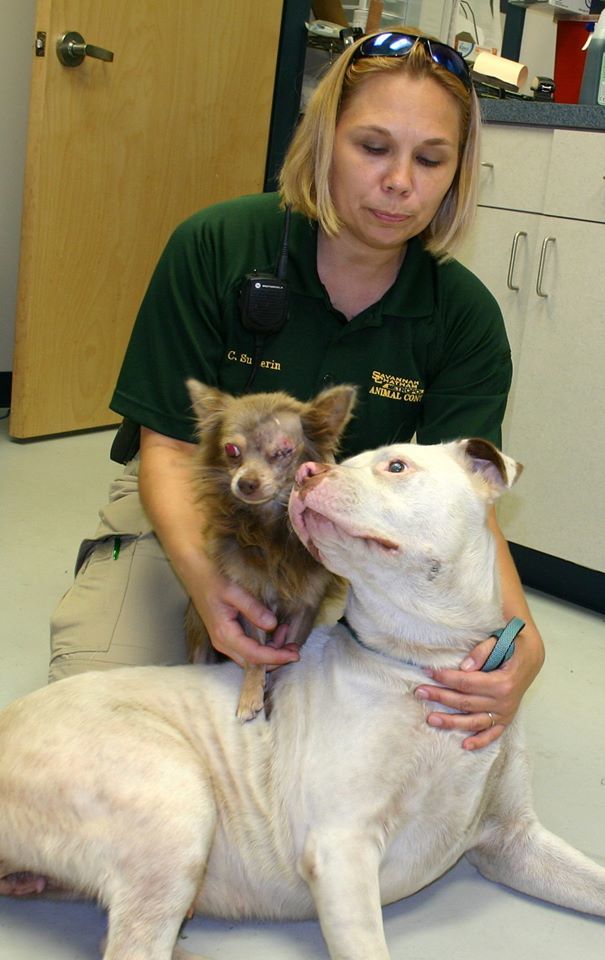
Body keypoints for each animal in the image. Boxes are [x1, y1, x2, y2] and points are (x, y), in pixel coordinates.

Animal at [1, 436, 604, 960]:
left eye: (396, 466)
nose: (307, 474)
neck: (420, 662)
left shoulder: (512, 842)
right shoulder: (342, 851)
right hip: (174, 810)